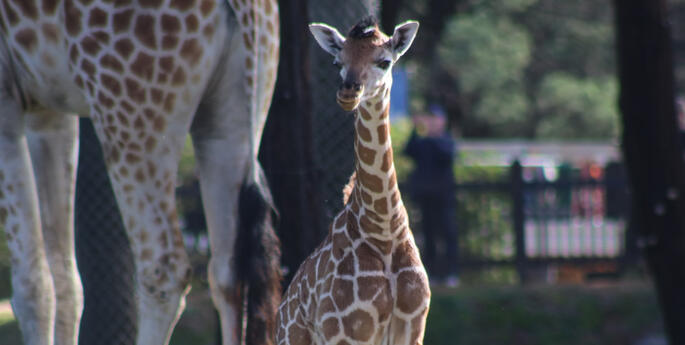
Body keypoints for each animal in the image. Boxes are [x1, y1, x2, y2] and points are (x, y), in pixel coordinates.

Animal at [0, 0, 280, 344]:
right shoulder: (49, 111)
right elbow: (65, 277)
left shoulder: (6, 97)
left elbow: (33, 284)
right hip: (231, 120)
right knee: (228, 271)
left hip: (129, 114)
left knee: (165, 269)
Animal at [276, 17, 430, 342]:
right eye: (338, 62)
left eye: (384, 61)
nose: (348, 92)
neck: (384, 229)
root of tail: (281, 311)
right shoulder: (348, 332)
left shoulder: (412, 326)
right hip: (293, 338)